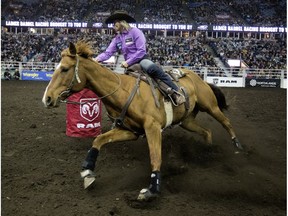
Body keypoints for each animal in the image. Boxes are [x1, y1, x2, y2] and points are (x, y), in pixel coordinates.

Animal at [41, 41, 243, 201]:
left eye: (64, 69)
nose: (47, 98)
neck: (124, 92)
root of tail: (196, 76)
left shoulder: (152, 128)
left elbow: (155, 156)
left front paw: (152, 190)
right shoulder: (129, 131)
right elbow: (98, 140)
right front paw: (88, 171)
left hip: (211, 106)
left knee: (226, 122)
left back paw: (237, 145)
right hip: (187, 121)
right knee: (206, 131)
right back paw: (207, 152)